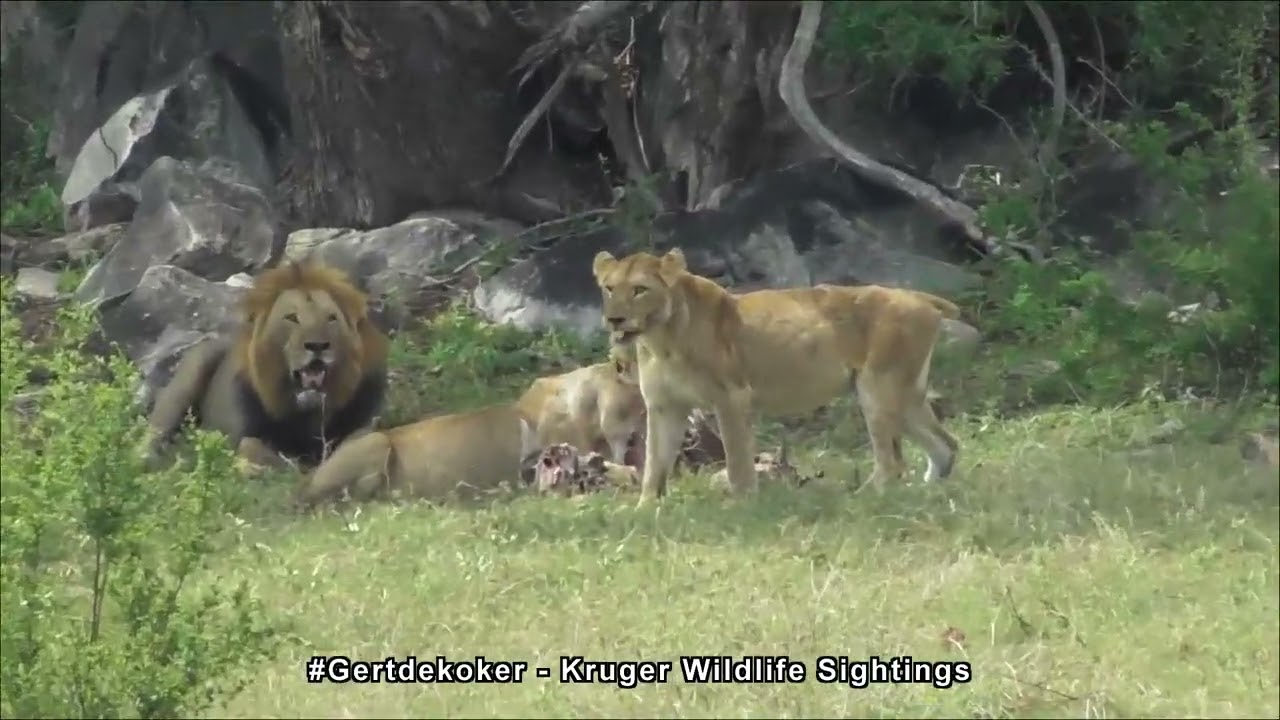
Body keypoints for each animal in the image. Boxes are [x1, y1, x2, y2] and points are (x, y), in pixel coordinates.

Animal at [141, 261, 390, 472]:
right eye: (292, 318)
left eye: (331, 318)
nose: (317, 345)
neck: (307, 415)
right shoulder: (240, 431)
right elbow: (251, 446)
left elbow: (362, 439)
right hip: (193, 369)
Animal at [592, 247, 962, 504]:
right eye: (609, 288)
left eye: (639, 289)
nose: (614, 319)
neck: (661, 340)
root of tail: (917, 296)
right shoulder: (665, 407)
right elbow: (655, 461)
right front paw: (645, 509)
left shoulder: (731, 397)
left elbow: (737, 457)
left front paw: (741, 504)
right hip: (904, 395)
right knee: (945, 445)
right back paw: (929, 494)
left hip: (878, 389)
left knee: (892, 462)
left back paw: (862, 498)